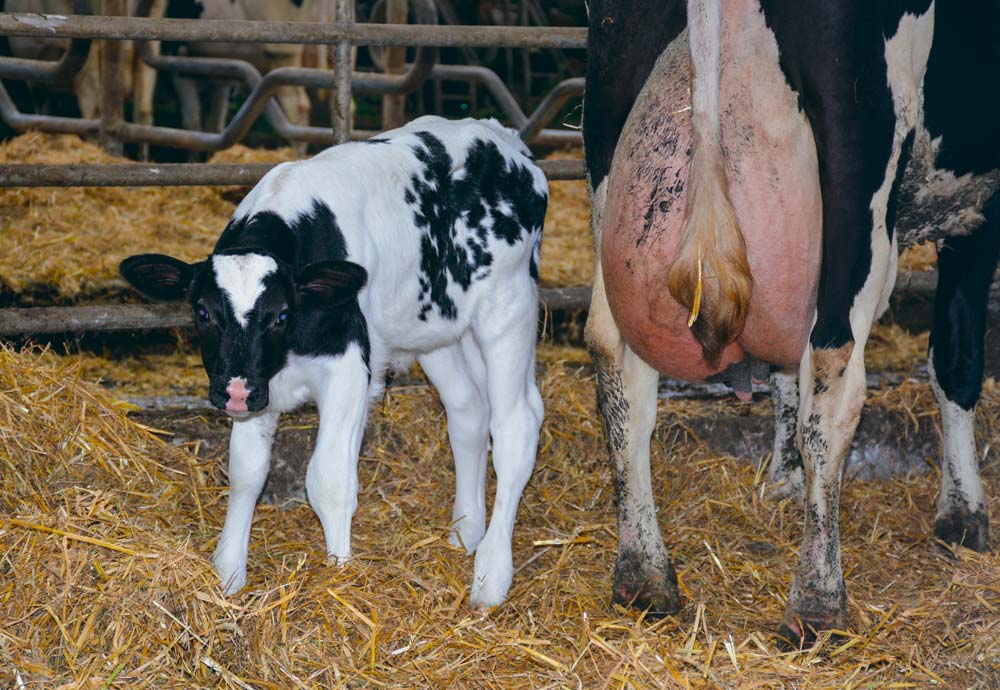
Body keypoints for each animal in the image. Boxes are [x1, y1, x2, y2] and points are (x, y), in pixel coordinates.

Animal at [584, 0, 1000, 644]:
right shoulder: (980, 208)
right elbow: (955, 358)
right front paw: (962, 512)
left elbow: (783, 376)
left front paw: (781, 480)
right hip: (862, 179)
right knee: (833, 384)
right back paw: (818, 599)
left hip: (610, 128)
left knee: (616, 365)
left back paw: (645, 576)